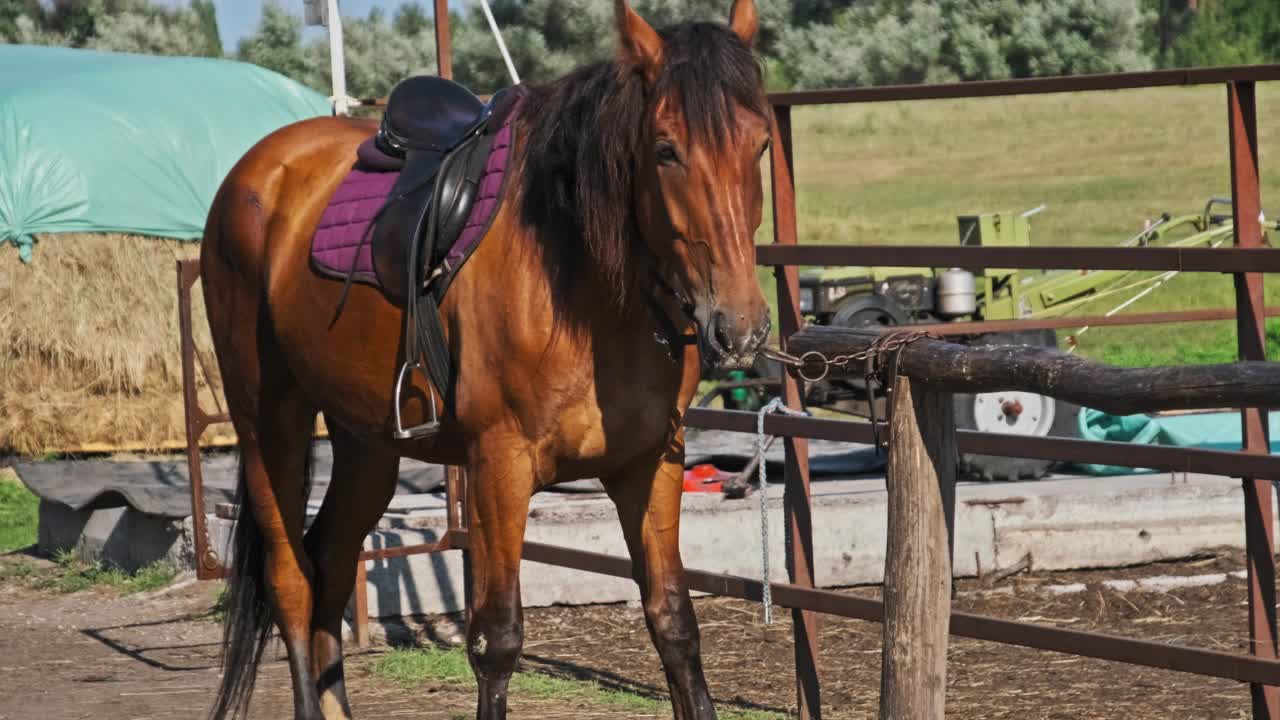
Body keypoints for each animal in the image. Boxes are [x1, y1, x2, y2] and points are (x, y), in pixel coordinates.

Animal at [202, 2, 768, 712]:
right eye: (666, 149)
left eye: (761, 144)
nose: (740, 327)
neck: (581, 286)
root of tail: (258, 169)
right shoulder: (500, 467)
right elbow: (496, 641)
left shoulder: (652, 465)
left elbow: (674, 623)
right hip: (268, 422)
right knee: (292, 580)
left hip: (366, 443)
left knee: (328, 563)